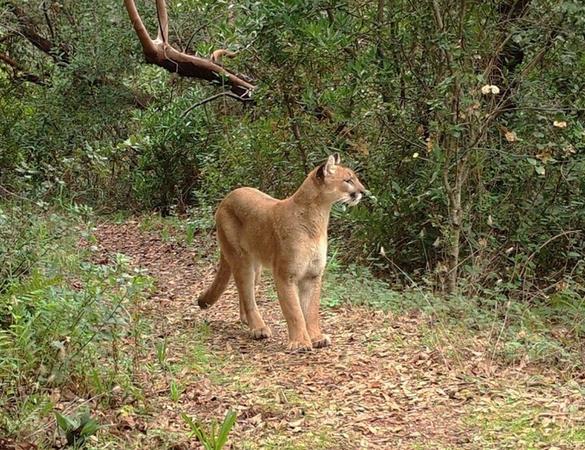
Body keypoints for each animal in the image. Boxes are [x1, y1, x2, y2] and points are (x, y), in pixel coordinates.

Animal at [200, 155, 364, 352]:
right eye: (348, 180)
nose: (364, 191)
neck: (318, 217)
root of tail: (227, 197)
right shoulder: (285, 274)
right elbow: (294, 310)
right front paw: (300, 342)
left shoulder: (313, 275)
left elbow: (311, 310)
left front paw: (316, 337)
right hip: (240, 259)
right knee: (247, 292)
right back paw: (258, 328)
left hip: (255, 267)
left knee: (244, 292)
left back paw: (248, 321)